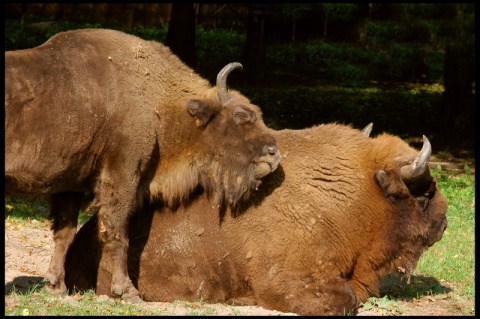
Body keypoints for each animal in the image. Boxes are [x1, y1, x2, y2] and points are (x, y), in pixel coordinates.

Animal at [4, 28, 282, 304]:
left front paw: (56, 287)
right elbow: (117, 231)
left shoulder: (69, 184)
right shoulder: (123, 173)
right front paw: (127, 291)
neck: (156, 101)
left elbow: (65, 233)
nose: (273, 154)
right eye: (241, 115)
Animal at [63, 124, 446, 316]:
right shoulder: (290, 280)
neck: (355, 195)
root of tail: (84, 239)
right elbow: (347, 299)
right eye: (425, 192)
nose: (444, 223)